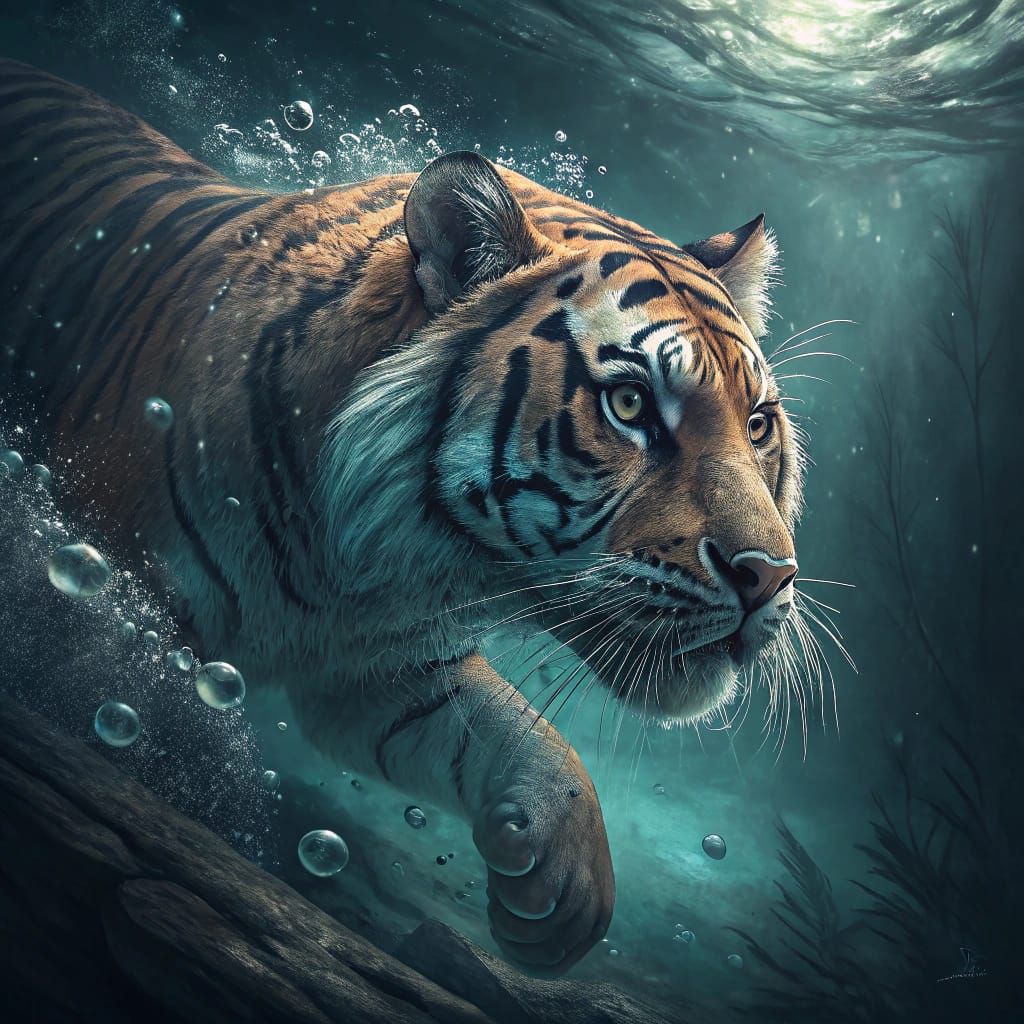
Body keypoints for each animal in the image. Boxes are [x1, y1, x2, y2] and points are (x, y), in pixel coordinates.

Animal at [0, 59, 805, 973]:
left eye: (757, 425)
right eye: (630, 404)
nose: (769, 576)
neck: (366, 566)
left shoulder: (382, 670)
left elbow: (528, 739)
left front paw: (559, 903)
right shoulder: (111, 589)